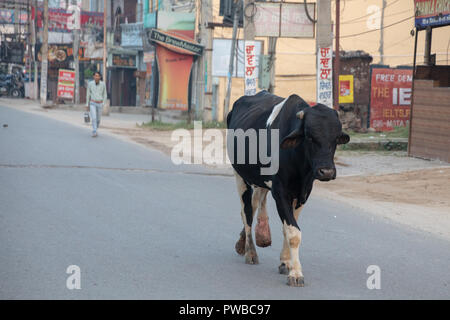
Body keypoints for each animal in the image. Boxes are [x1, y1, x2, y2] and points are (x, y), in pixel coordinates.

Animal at [227, 90, 350, 288]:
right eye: (309, 136)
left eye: (336, 139)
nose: (326, 172)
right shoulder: (281, 193)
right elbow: (293, 233)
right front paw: (296, 273)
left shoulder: (302, 194)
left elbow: (288, 229)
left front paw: (286, 262)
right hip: (240, 176)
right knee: (246, 212)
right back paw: (250, 251)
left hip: (260, 180)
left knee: (256, 203)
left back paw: (253, 238)